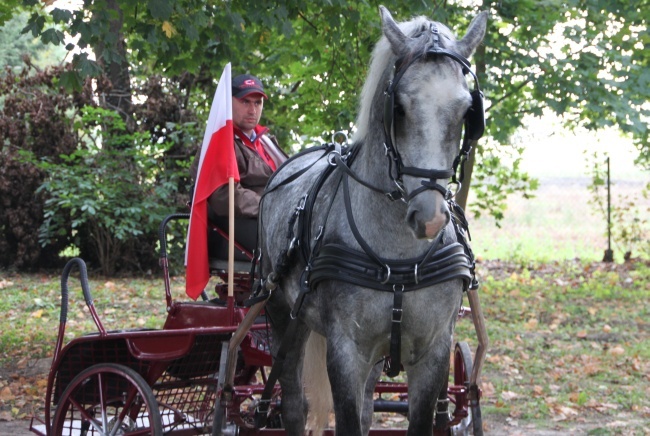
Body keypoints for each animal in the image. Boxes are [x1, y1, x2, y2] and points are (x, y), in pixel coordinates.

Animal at [256, 6, 484, 436]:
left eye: (467, 111)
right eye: (399, 108)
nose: (430, 217)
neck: (401, 258)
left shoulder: (433, 350)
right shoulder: (346, 351)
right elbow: (344, 418)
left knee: (365, 408)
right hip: (282, 315)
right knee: (292, 402)